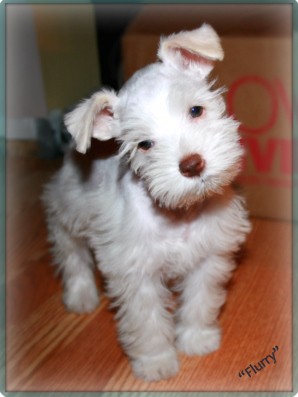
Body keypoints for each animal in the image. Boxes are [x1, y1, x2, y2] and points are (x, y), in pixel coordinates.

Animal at [42, 24, 251, 380]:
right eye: (144, 144)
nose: (192, 165)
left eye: (196, 110)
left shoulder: (208, 257)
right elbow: (148, 323)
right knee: (69, 250)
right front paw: (156, 363)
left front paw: (196, 339)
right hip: (67, 209)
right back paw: (81, 295)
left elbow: (199, 302)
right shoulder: (136, 273)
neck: (179, 212)